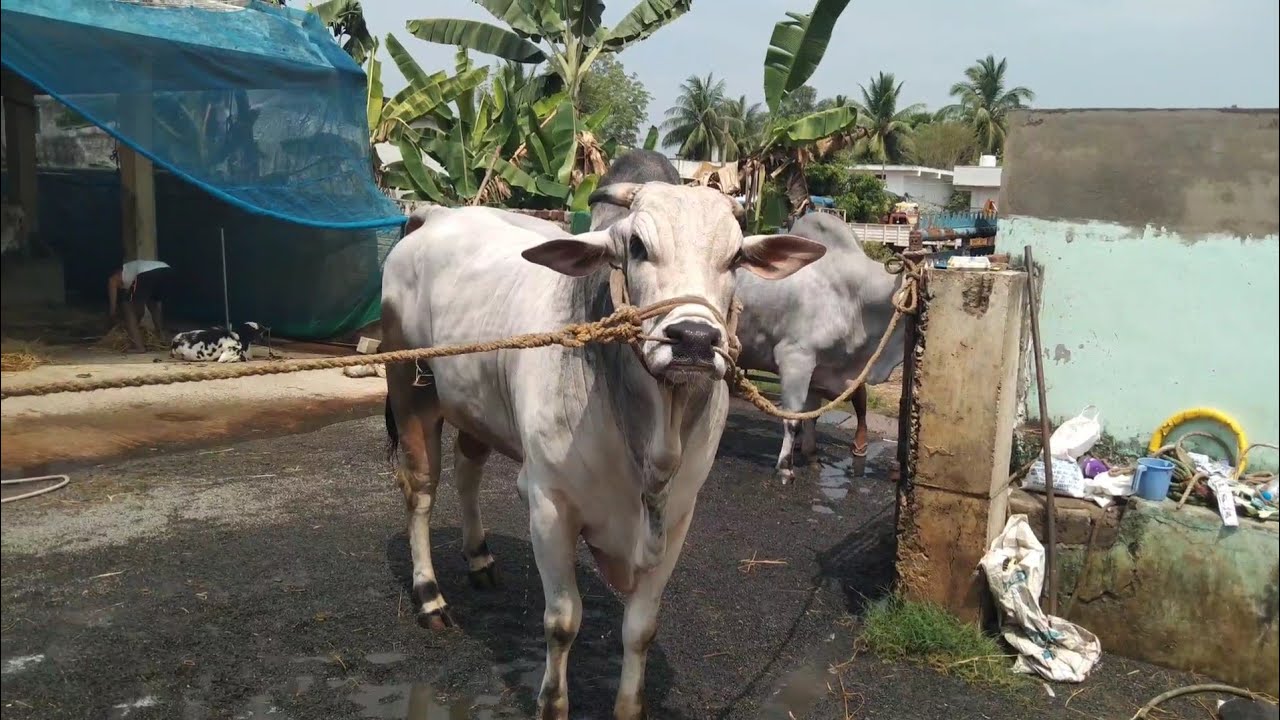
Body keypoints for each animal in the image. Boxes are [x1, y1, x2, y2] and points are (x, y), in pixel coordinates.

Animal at [379, 183, 825, 719]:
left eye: (736, 256)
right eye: (636, 245)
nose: (696, 339)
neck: (652, 439)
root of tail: (434, 214)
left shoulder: (677, 518)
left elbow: (640, 630)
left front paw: (629, 705)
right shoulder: (549, 506)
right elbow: (563, 621)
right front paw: (552, 704)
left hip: (475, 404)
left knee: (468, 470)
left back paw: (480, 559)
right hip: (412, 390)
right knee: (421, 492)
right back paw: (430, 597)